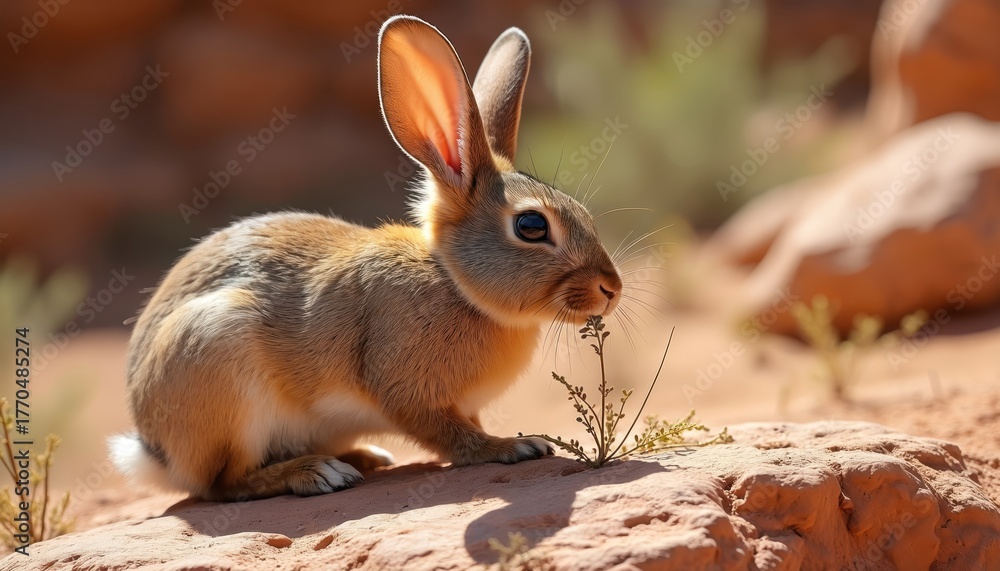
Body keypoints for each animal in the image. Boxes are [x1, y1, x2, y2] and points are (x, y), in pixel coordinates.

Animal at [108, 15, 623, 501]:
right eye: (531, 226)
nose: (611, 289)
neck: (454, 283)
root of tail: (155, 452)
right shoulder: (407, 392)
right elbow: (453, 437)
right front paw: (515, 445)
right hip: (220, 358)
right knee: (223, 484)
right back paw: (319, 472)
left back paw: (365, 457)